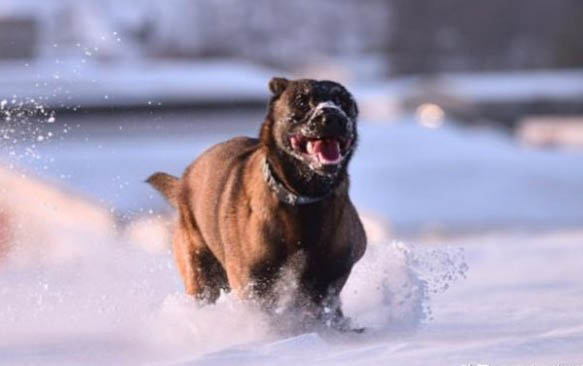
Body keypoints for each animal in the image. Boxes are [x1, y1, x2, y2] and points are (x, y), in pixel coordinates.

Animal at [147, 78, 364, 332]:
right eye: (301, 100)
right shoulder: (253, 283)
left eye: (344, 101)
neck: (302, 200)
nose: (333, 116)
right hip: (201, 274)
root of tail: (184, 182)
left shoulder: (330, 275)